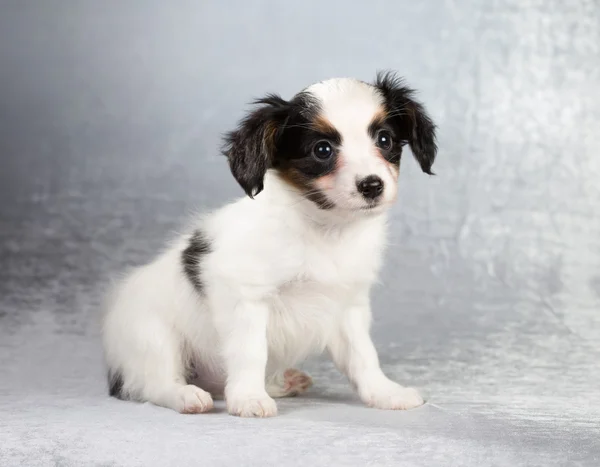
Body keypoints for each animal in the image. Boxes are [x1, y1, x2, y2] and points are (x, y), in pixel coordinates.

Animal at [103, 71, 436, 418]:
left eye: (384, 140)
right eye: (322, 150)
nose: (372, 185)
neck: (325, 229)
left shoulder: (348, 306)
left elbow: (363, 356)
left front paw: (384, 392)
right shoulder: (245, 298)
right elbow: (250, 351)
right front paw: (249, 398)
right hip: (153, 336)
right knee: (154, 384)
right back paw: (185, 395)